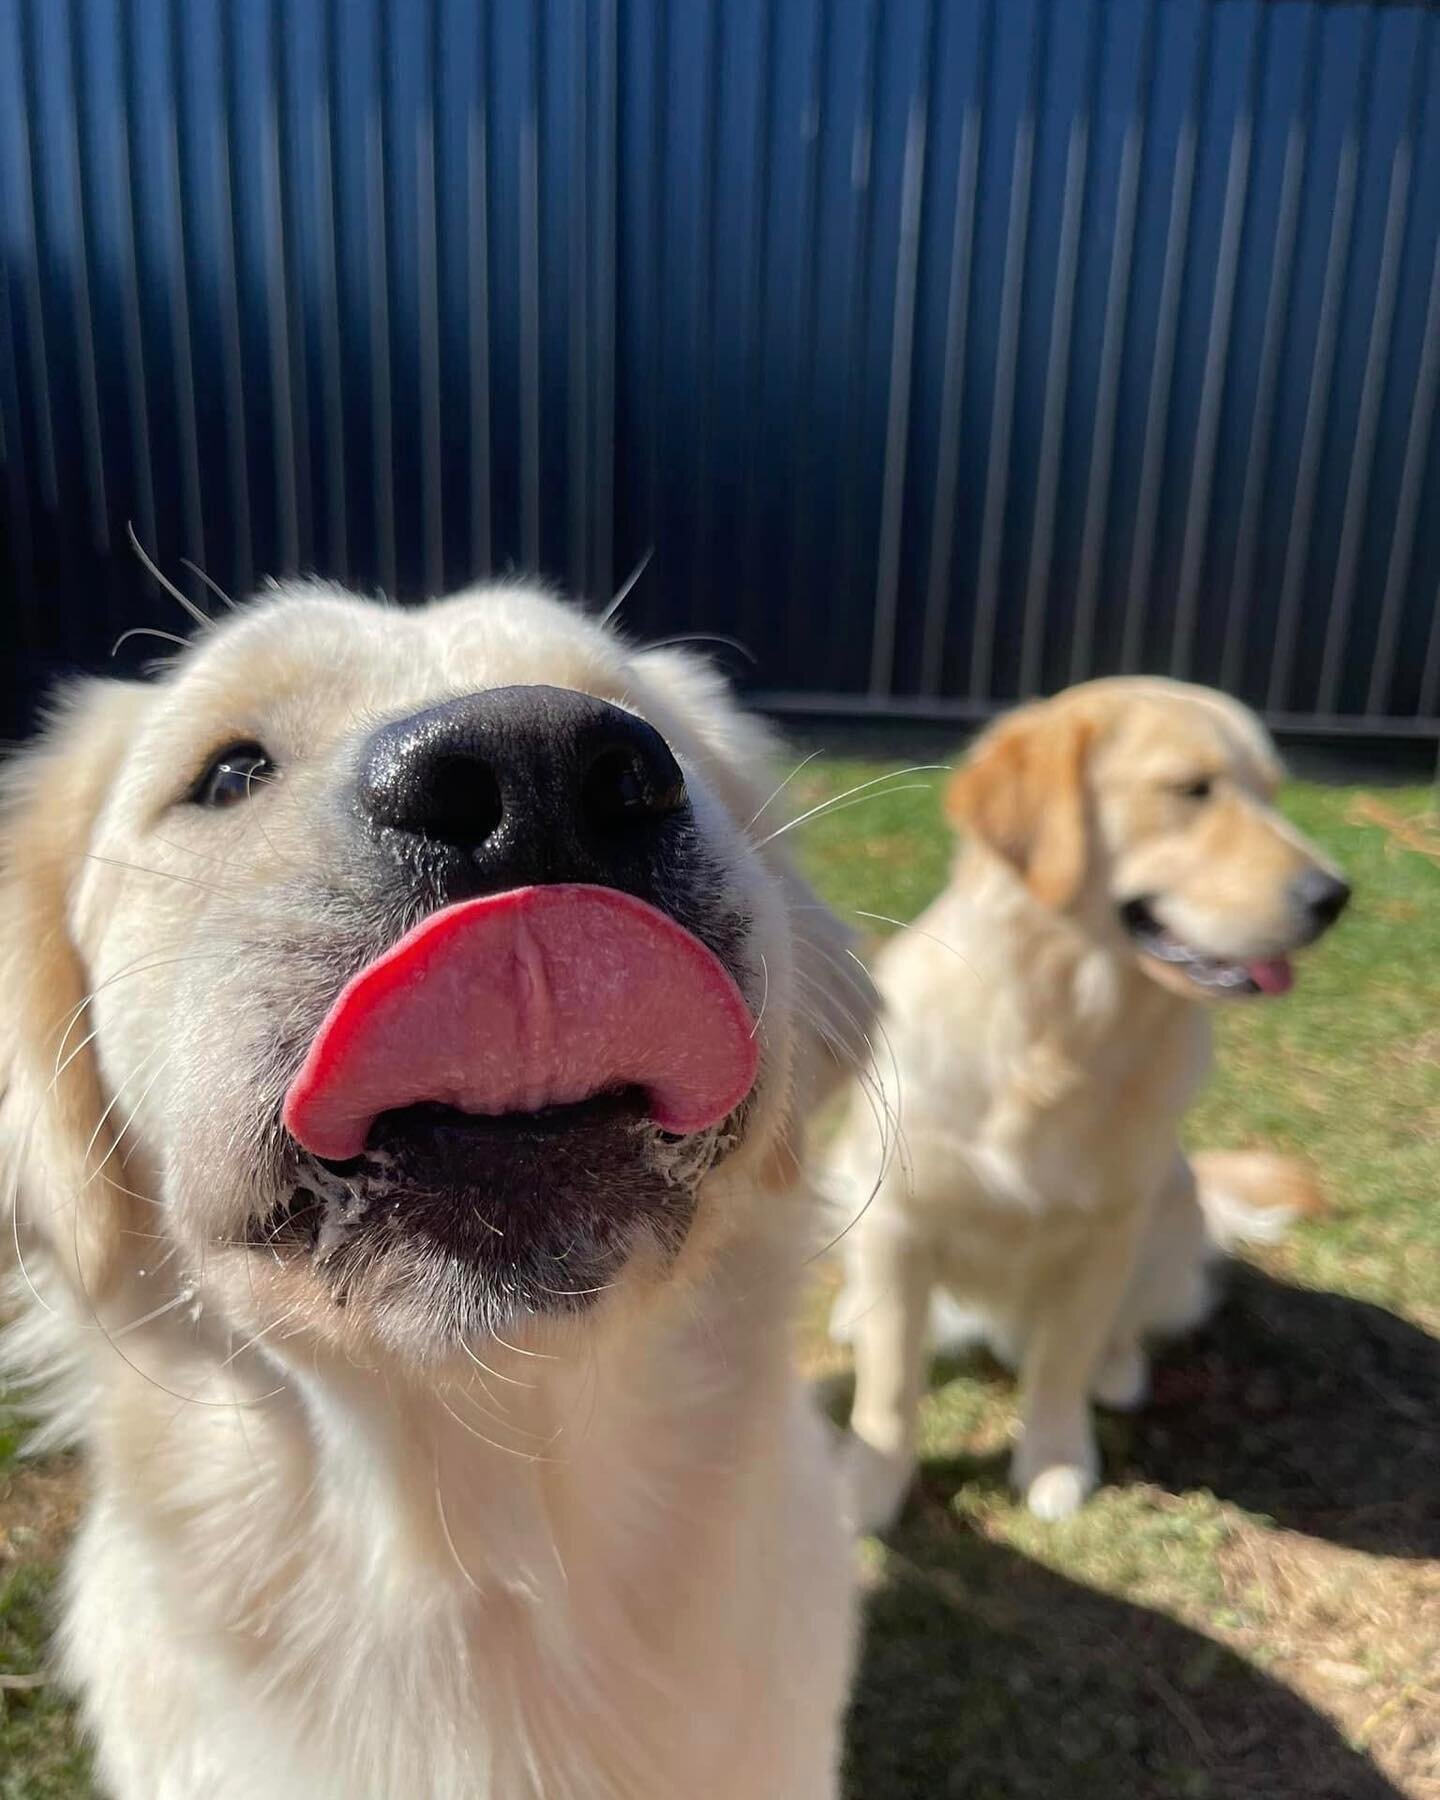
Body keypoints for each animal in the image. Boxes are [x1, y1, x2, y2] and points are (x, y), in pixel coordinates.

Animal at [831, 680, 1353, 1526]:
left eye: (1273, 792)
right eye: (1192, 789)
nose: (1335, 897)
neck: (1060, 1032)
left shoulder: (1107, 1233)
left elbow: (1063, 1360)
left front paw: (1052, 1460)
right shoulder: (897, 1224)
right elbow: (888, 1388)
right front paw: (869, 1487)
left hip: (1172, 1213)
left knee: (1127, 1324)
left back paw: (1119, 1367)